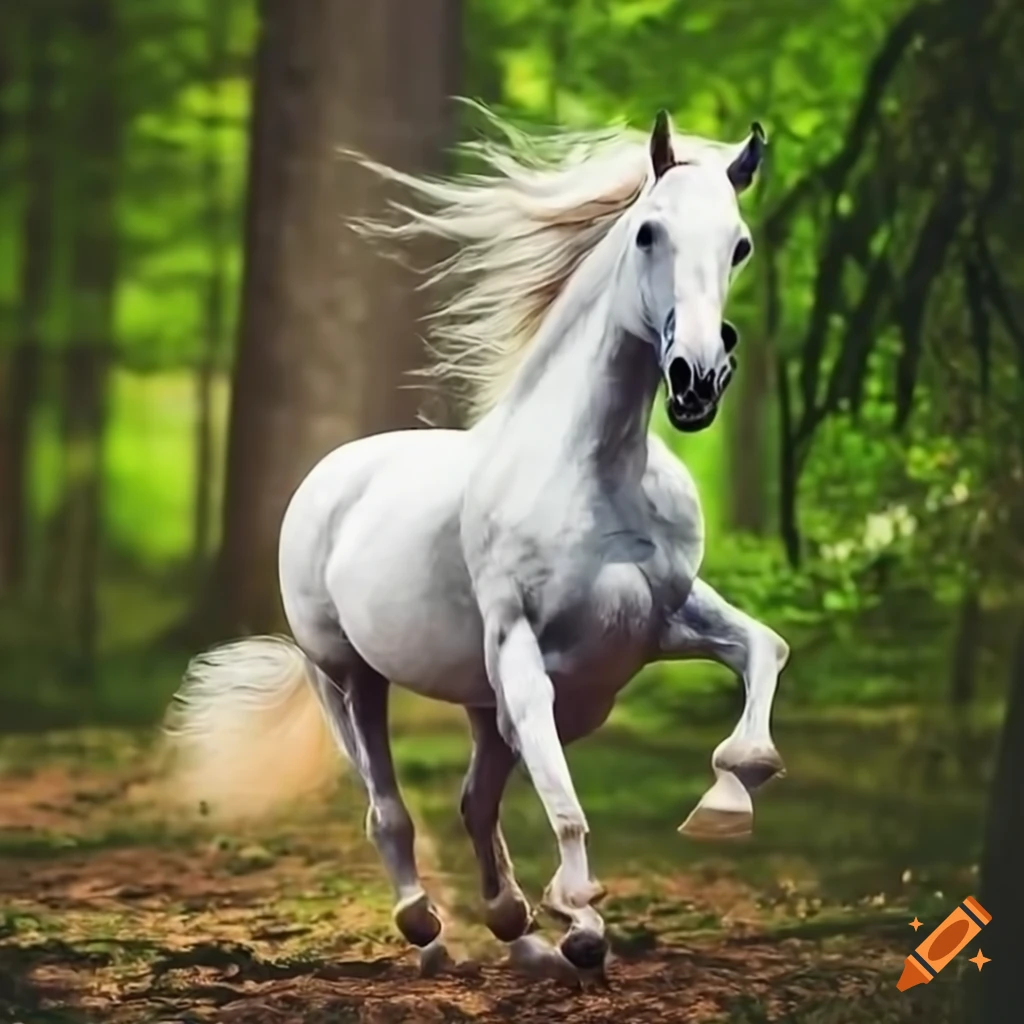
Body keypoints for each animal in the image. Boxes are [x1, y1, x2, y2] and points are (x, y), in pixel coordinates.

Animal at [164, 108, 790, 988]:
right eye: (648, 232)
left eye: (739, 245)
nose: (696, 378)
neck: (597, 472)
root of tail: (329, 475)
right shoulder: (522, 654)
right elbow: (563, 798)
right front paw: (583, 921)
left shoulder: (667, 620)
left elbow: (765, 651)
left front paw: (725, 804)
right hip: (348, 676)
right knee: (388, 809)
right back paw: (432, 931)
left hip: (477, 706)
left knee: (474, 803)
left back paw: (522, 936)